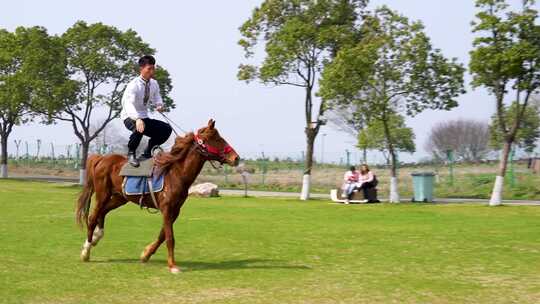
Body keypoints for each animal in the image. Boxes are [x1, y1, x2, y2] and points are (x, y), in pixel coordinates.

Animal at [75, 119, 239, 274]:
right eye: (216, 139)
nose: (236, 158)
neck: (175, 173)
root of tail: (101, 159)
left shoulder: (175, 210)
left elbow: (162, 235)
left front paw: (146, 254)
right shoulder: (167, 209)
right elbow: (170, 238)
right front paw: (172, 265)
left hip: (119, 198)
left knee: (103, 212)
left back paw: (96, 237)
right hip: (103, 195)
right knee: (93, 217)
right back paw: (86, 250)